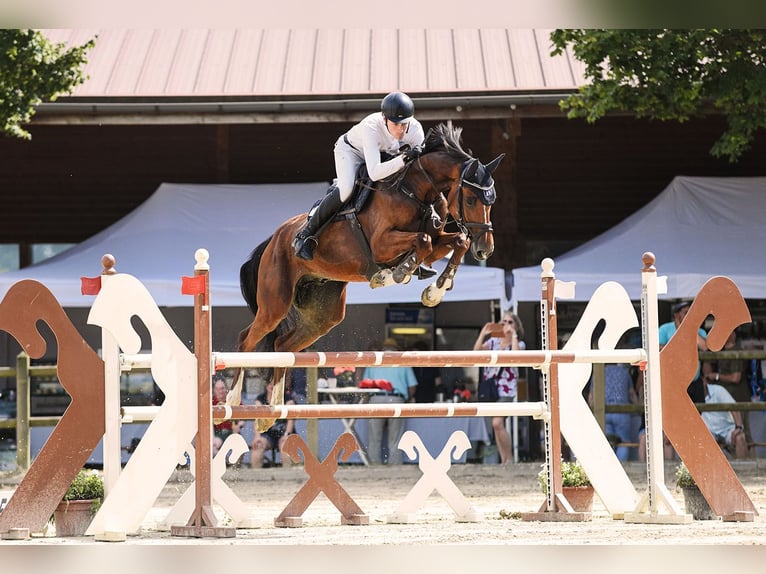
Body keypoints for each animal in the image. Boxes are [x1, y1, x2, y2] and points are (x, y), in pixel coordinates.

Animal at [231, 122, 508, 432]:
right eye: (470, 198)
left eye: (492, 201)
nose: (485, 249)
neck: (415, 191)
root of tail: (274, 239)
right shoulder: (382, 243)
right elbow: (422, 240)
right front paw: (396, 273)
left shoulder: (437, 241)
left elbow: (456, 240)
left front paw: (434, 289)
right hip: (275, 303)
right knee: (246, 340)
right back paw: (230, 403)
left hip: (323, 316)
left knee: (282, 346)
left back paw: (270, 413)